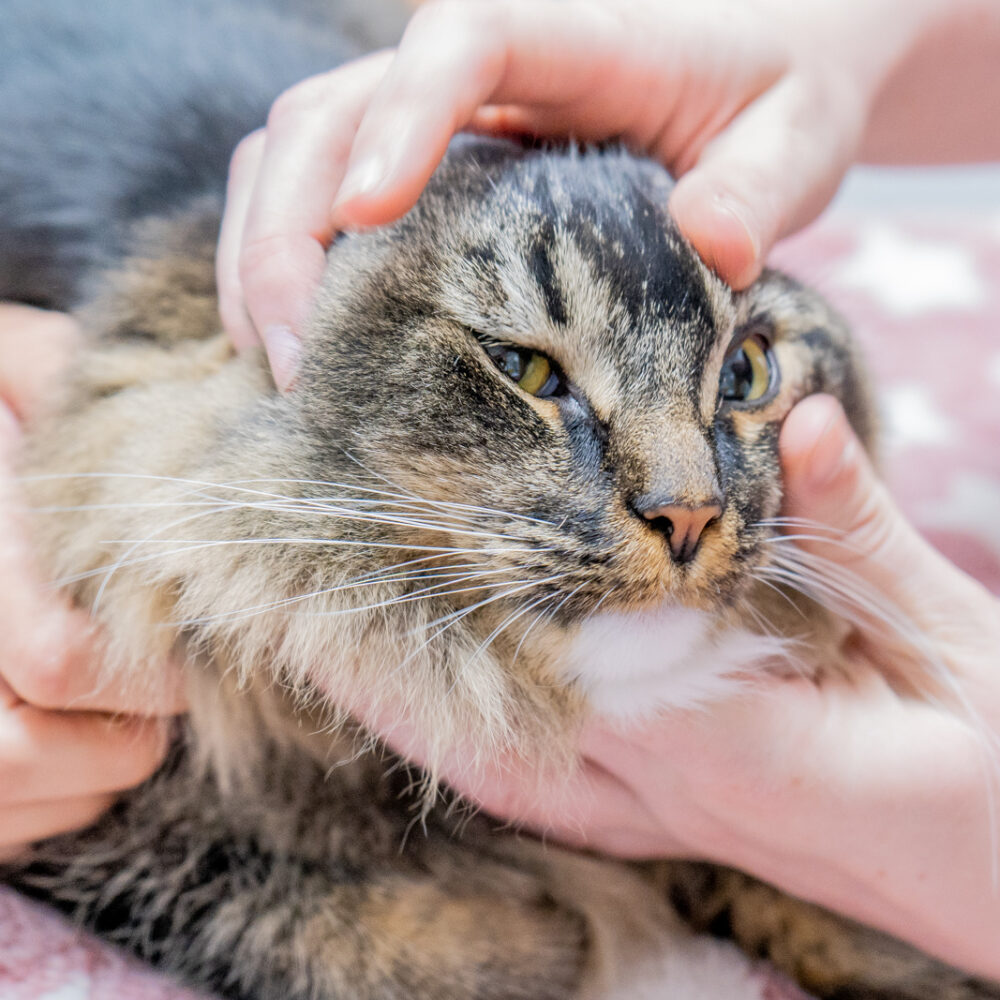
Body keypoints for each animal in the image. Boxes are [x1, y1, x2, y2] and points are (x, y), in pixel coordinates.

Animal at [3, 1, 996, 1000]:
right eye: (521, 369)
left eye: (747, 373)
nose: (687, 514)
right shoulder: (101, 804)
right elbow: (298, 922)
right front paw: (546, 939)